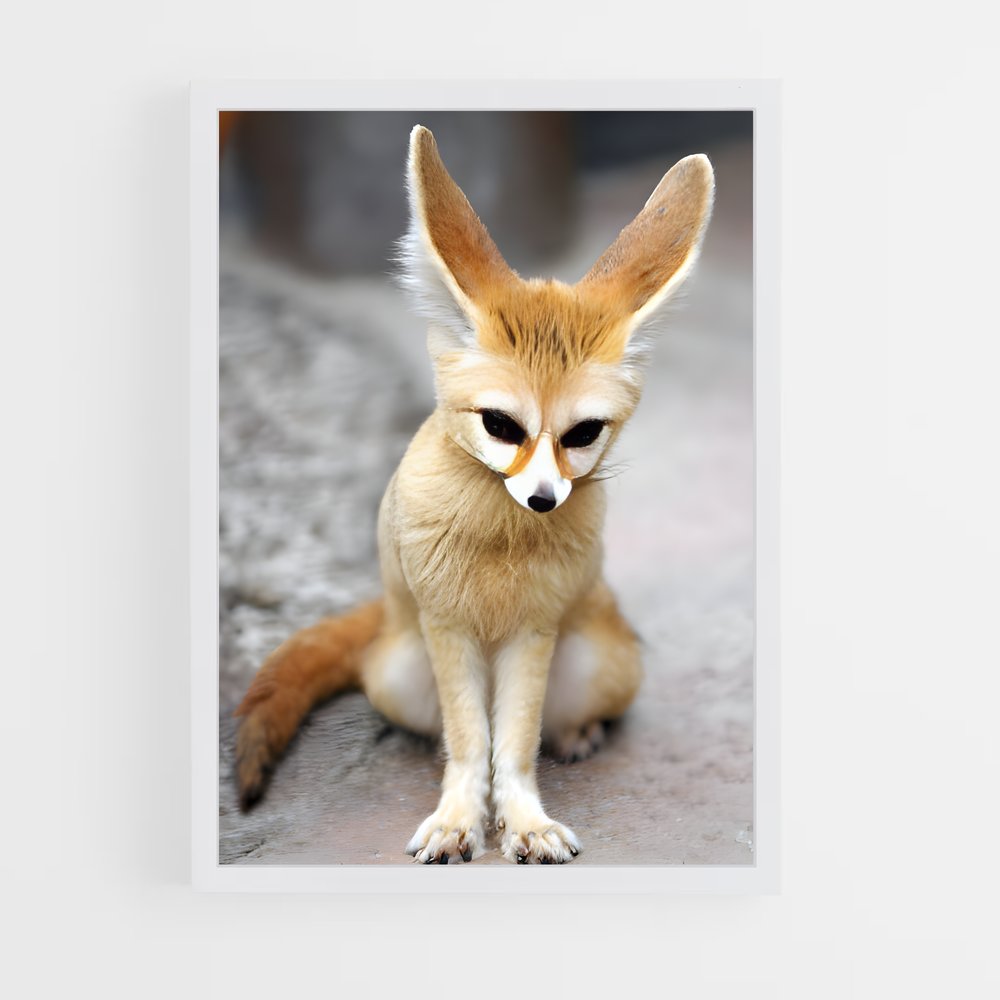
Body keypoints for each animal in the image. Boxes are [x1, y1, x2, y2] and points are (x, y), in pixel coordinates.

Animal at [233, 123, 715, 864]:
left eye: (583, 433)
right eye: (500, 425)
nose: (544, 499)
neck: (499, 543)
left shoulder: (533, 631)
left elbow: (513, 745)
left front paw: (525, 821)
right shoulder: (447, 627)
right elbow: (471, 742)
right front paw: (461, 815)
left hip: (601, 663)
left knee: (556, 719)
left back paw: (578, 733)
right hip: (401, 673)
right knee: (449, 728)